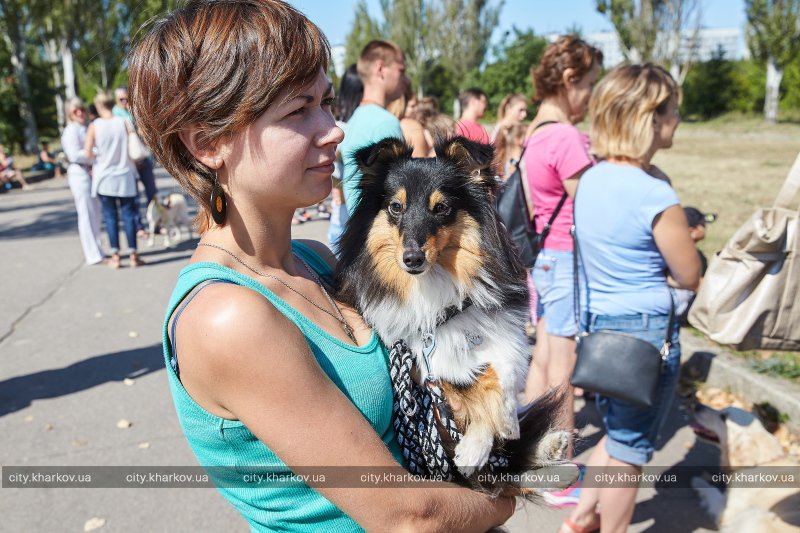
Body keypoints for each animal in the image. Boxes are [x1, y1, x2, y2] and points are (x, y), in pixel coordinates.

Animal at [692, 404, 796, 532]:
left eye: (723, 417)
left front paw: (698, 481)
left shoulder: (727, 513)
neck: (760, 463)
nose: (697, 405)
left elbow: (713, 491)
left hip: (756, 515)